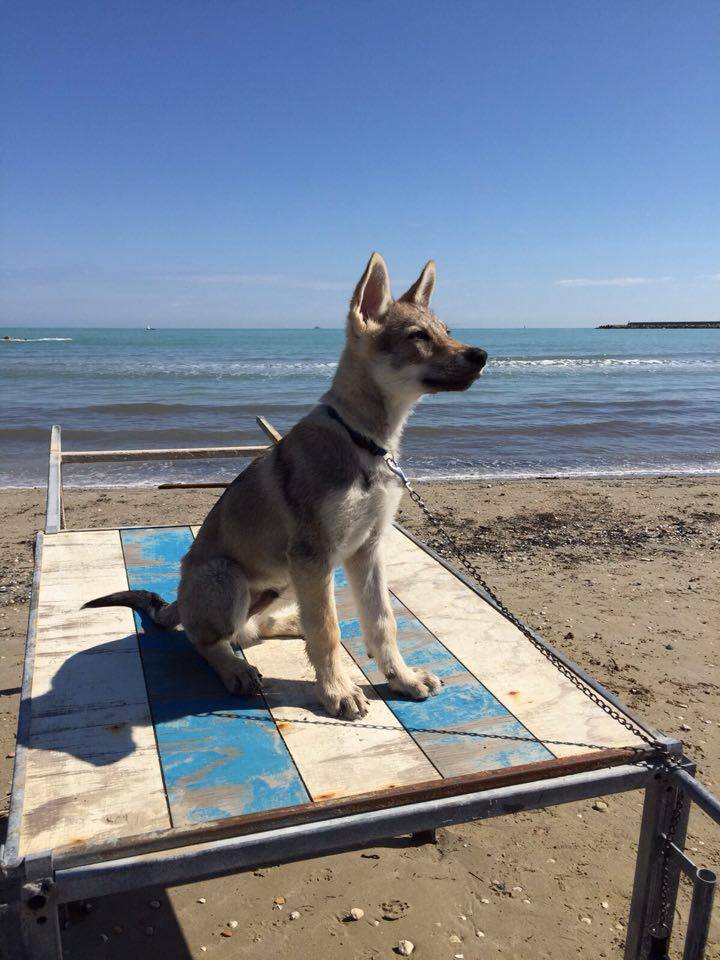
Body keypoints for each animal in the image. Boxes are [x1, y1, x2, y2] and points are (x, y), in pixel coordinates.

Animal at [86, 255, 490, 720]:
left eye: (447, 329)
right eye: (418, 336)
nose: (482, 355)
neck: (364, 441)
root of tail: (180, 600)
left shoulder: (367, 549)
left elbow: (381, 621)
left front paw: (402, 679)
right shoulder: (314, 555)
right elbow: (328, 632)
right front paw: (337, 692)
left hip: (286, 581)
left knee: (252, 629)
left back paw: (290, 623)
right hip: (229, 576)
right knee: (207, 639)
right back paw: (235, 669)